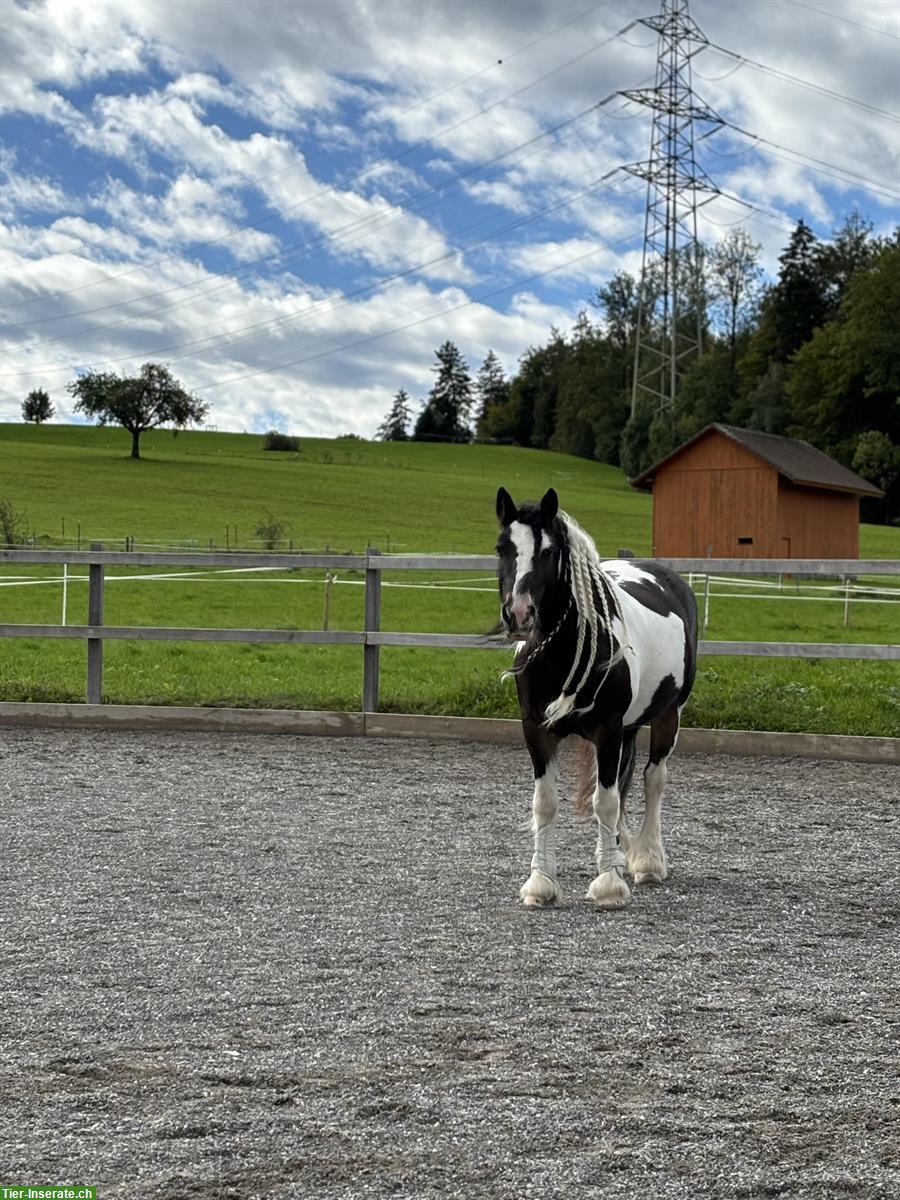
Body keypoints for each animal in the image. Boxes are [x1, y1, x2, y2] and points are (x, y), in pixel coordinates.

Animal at [496, 487, 700, 907]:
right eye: (502, 547)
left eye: (548, 552)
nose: (519, 614)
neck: (563, 652)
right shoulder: (536, 731)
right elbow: (546, 804)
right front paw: (540, 883)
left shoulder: (607, 730)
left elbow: (604, 802)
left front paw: (608, 885)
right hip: (629, 728)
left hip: (669, 714)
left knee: (653, 780)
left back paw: (648, 861)